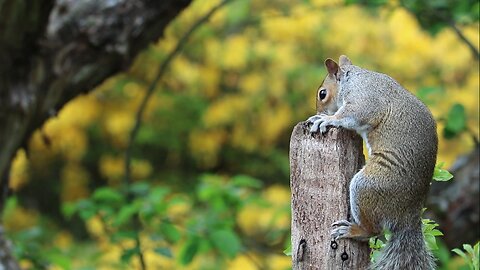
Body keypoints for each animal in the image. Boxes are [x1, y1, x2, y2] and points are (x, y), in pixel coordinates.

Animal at [308, 55, 438, 270]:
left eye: (322, 93)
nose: (319, 110)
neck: (353, 78)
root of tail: (409, 214)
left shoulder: (365, 100)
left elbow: (352, 115)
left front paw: (326, 118)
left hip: (367, 185)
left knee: (373, 231)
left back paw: (353, 230)